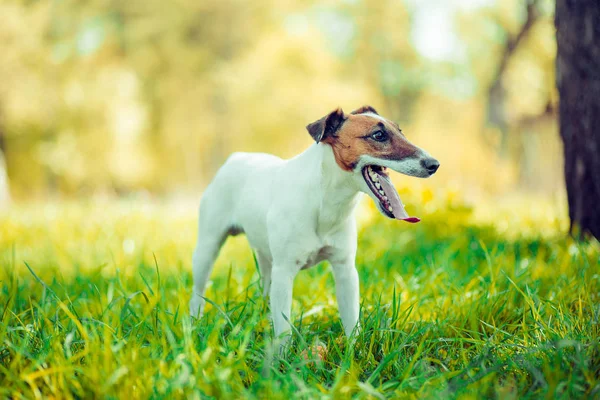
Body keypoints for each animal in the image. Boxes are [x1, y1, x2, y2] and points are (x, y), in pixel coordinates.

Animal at [190, 106, 438, 344]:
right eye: (378, 135)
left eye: (400, 131)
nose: (434, 164)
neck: (324, 202)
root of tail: (235, 158)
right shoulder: (284, 272)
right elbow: (284, 331)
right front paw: (281, 356)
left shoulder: (345, 269)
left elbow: (352, 322)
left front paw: (353, 351)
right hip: (207, 249)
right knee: (198, 292)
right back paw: (195, 325)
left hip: (266, 259)